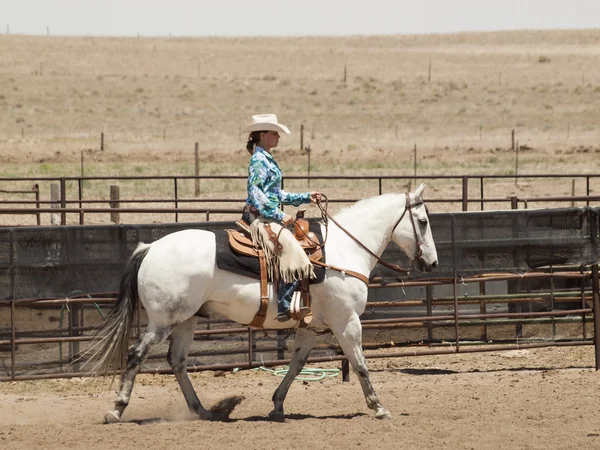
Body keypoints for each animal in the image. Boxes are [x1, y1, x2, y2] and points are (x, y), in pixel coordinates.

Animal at [91, 183, 438, 422]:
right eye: (422, 222)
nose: (432, 263)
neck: (344, 251)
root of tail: (149, 248)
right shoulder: (347, 322)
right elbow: (360, 363)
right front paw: (378, 406)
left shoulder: (311, 327)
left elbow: (296, 364)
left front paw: (277, 405)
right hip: (164, 321)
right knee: (137, 353)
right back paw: (116, 410)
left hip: (186, 319)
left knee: (177, 361)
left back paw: (203, 410)